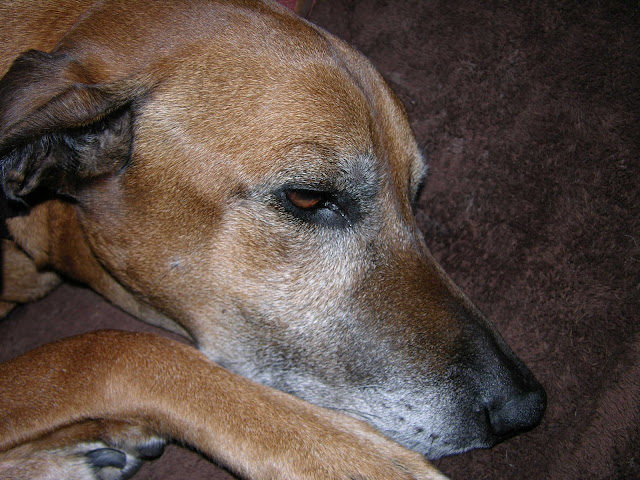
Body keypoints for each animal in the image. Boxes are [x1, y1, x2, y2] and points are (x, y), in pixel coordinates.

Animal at [0, 0, 546, 478]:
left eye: (413, 195)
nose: (524, 407)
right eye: (308, 197)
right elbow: (107, 352)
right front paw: (351, 456)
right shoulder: (105, 359)